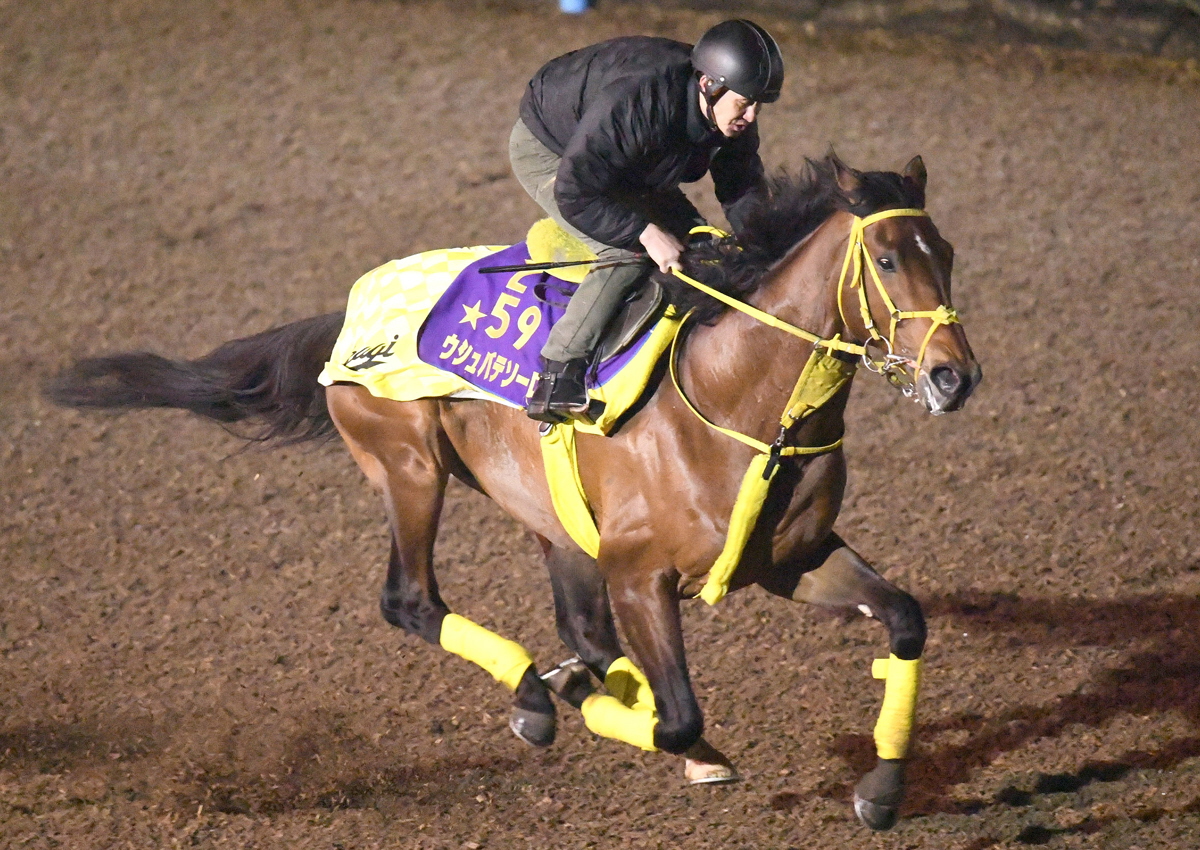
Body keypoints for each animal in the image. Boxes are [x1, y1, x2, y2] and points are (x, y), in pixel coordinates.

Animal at [49, 156, 984, 825]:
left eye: (948, 254)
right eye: (889, 259)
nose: (953, 377)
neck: (737, 400)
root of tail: (352, 313)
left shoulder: (791, 559)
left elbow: (904, 619)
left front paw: (882, 793)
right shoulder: (639, 573)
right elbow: (679, 711)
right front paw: (604, 709)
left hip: (552, 521)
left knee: (576, 627)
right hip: (411, 470)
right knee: (411, 600)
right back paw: (539, 695)